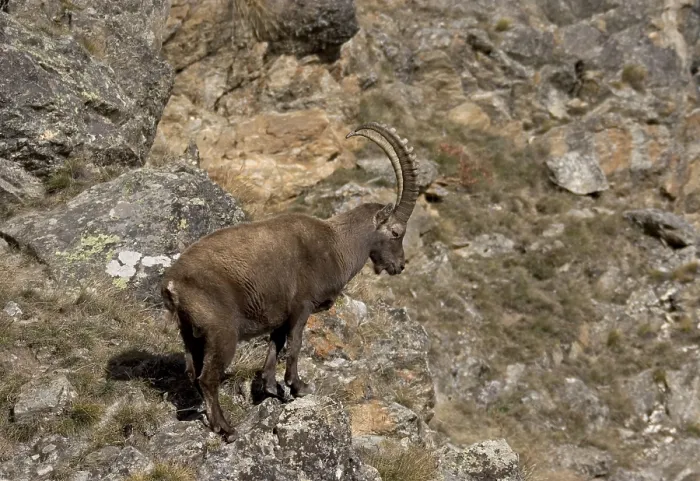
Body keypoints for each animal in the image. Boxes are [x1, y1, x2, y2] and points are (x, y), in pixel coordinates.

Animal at [160, 122, 419, 436]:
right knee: (207, 378)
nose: (399, 265)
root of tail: (172, 284)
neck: (337, 244)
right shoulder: (301, 306)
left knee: (192, 372)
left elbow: (275, 344)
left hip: (190, 333)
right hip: (221, 332)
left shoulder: (279, 315)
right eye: (396, 232)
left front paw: (271, 387)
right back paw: (225, 428)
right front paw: (298, 386)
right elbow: (294, 345)